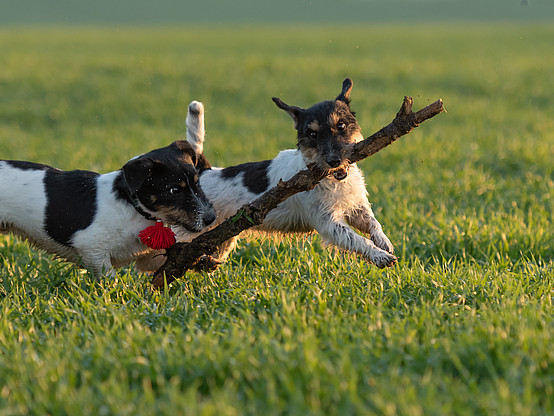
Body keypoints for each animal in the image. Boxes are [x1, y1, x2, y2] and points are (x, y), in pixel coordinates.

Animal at [0, 141, 215, 276]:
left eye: (197, 182)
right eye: (174, 190)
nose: (211, 218)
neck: (130, 205)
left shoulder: (146, 256)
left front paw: (202, 261)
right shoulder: (92, 249)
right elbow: (109, 279)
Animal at [181, 78, 396, 268]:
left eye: (341, 126)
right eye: (312, 134)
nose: (334, 160)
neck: (333, 182)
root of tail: (203, 171)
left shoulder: (356, 207)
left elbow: (374, 223)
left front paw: (384, 243)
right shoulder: (328, 222)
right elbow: (357, 239)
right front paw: (379, 255)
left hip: (223, 239)